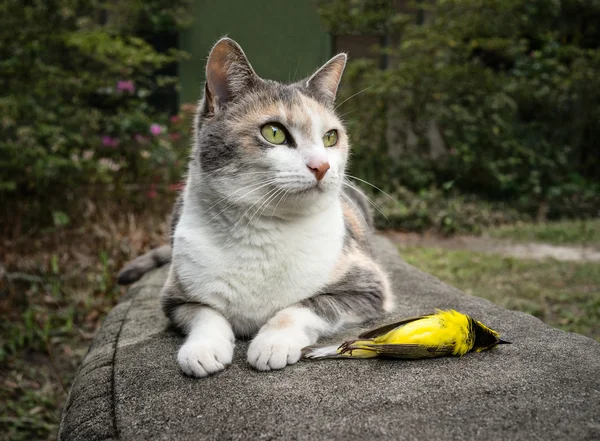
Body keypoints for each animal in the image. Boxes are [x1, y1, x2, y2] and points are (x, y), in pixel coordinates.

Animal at [119, 37, 396, 374]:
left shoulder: (367, 286)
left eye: (331, 137)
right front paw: (203, 350)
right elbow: (205, 313)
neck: (264, 230)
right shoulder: (175, 297)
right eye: (274, 132)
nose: (322, 166)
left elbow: (307, 305)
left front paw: (272, 343)